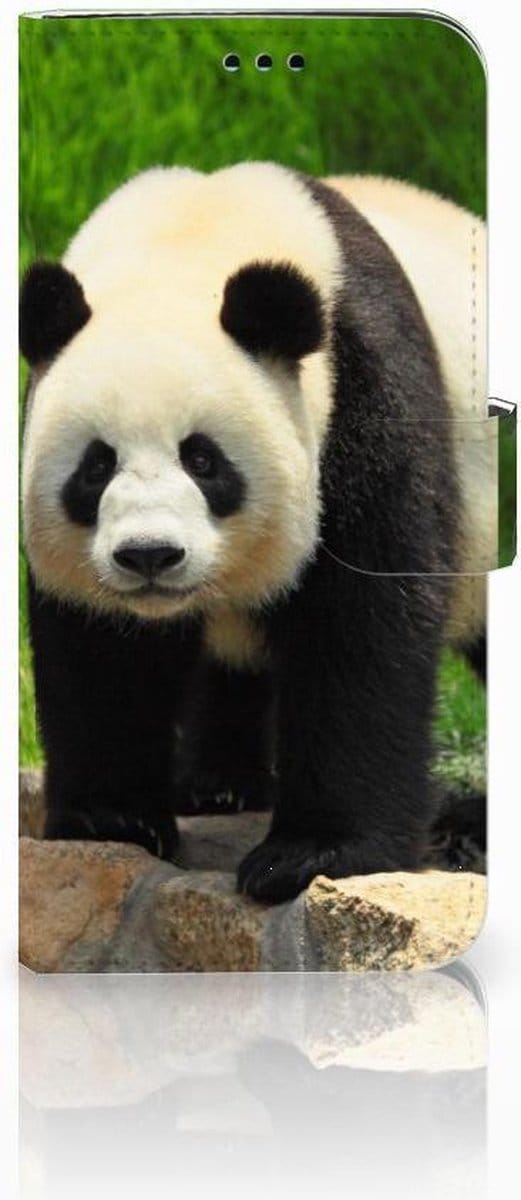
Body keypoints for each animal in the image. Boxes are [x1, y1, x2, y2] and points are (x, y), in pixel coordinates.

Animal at [20, 162, 490, 903]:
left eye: (203, 459)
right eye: (96, 466)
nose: (149, 556)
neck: (191, 236)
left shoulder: (365, 392)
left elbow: (362, 621)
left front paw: (313, 854)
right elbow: (101, 647)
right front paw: (111, 819)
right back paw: (218, 784)